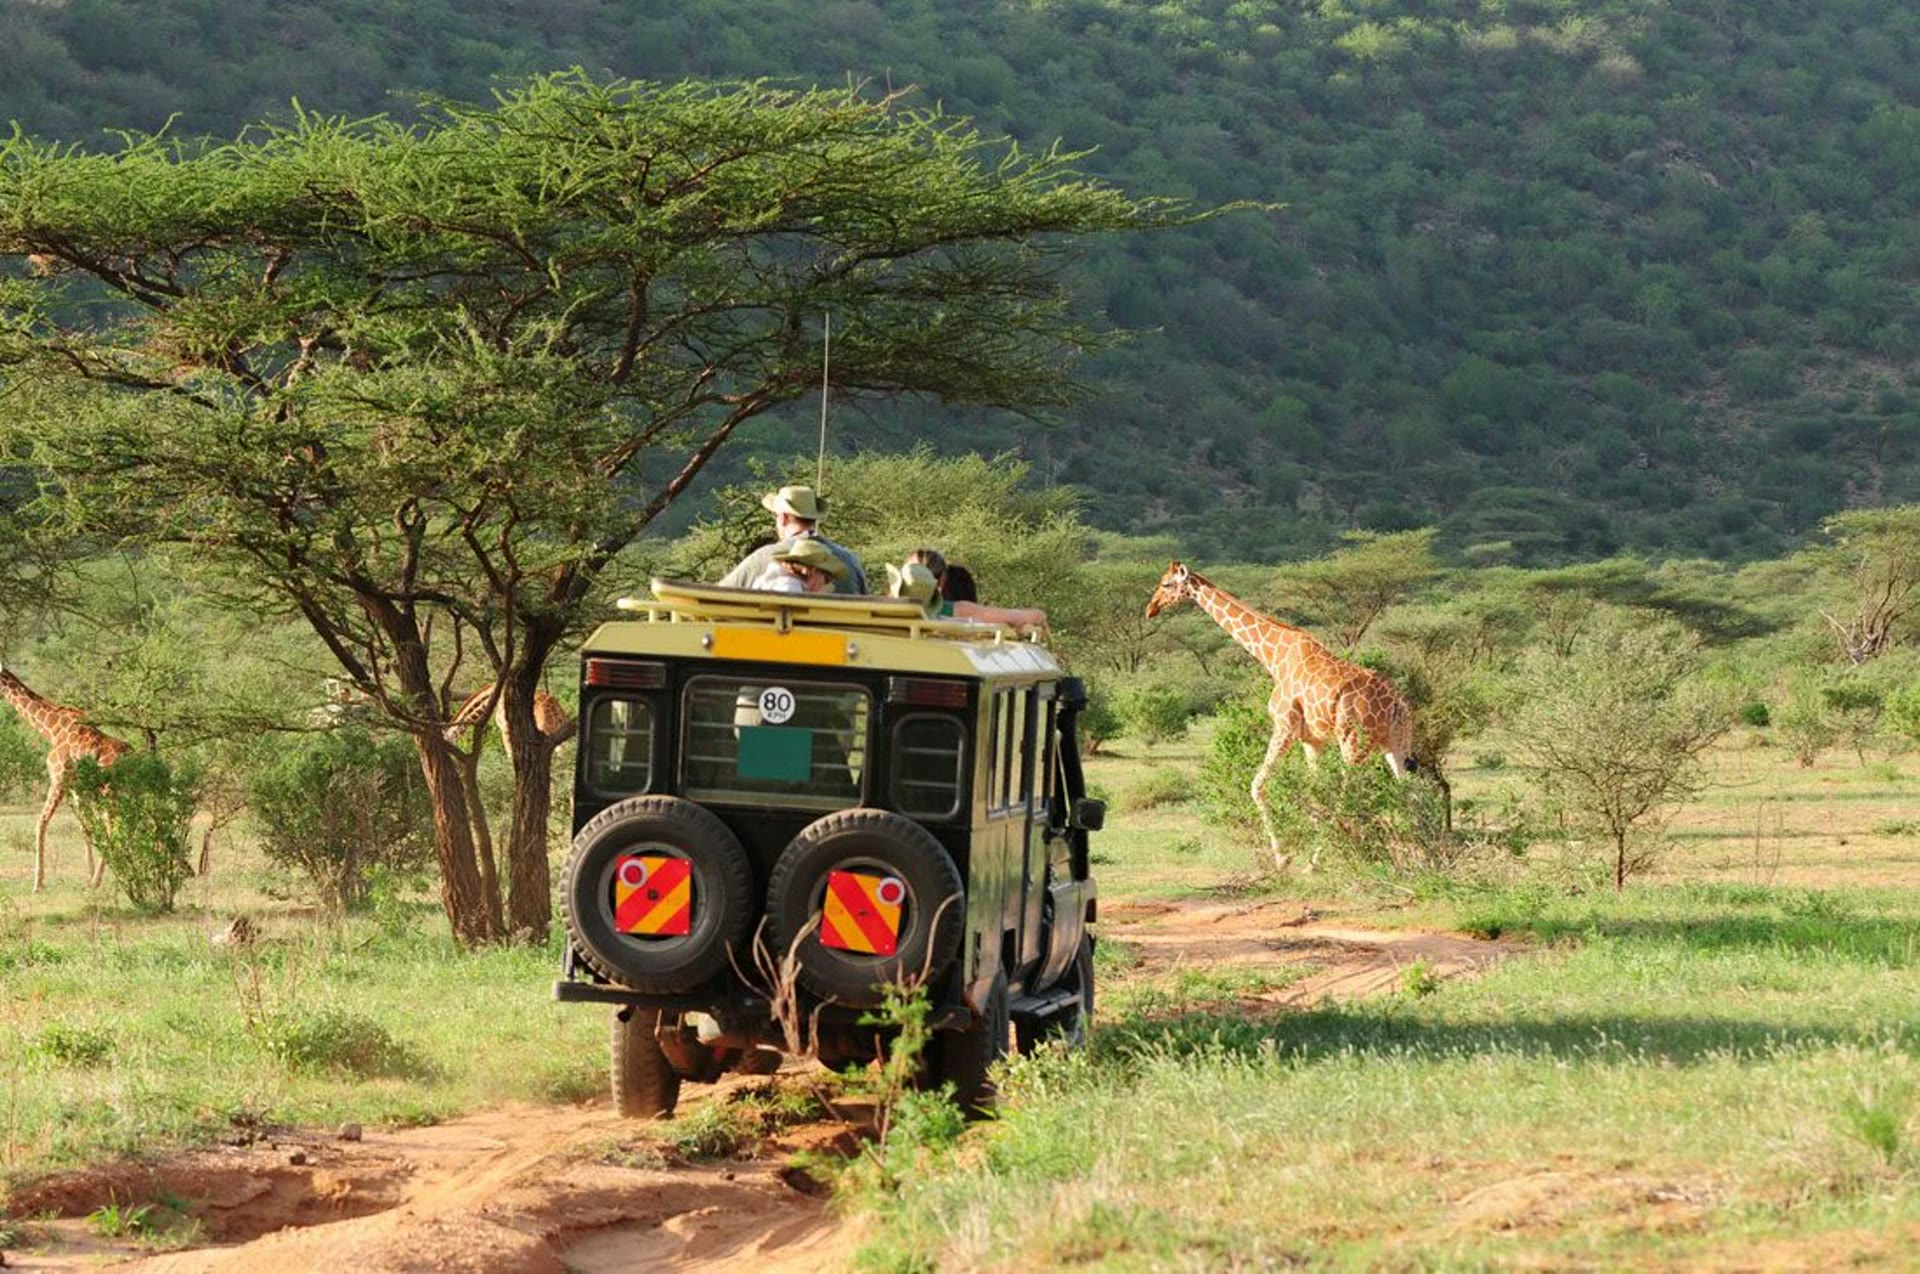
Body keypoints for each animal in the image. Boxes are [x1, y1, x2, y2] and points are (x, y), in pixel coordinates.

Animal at [0, 665, 132, 892]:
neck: (51, 729)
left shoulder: (58, 777)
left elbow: (41, 821)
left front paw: (38, 884)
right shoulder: (75, 787)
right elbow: (85, 828)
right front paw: (88, 876)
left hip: (109, 790)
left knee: (113, 825)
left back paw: (101, 879)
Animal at [1145, 563, 1415, 868]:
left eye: (1166, 584)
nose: (1151, 608)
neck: (1272, 656)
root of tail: (1397, 704)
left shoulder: (1285, 726)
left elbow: (1257, 785)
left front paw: (1283, 857)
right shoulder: (1313, 740)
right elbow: (1314, 792)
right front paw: (1321, 853)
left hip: (1353, 742)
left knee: (1350, 793)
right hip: (1395, 744)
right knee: (1410, 791)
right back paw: (1417, 855)